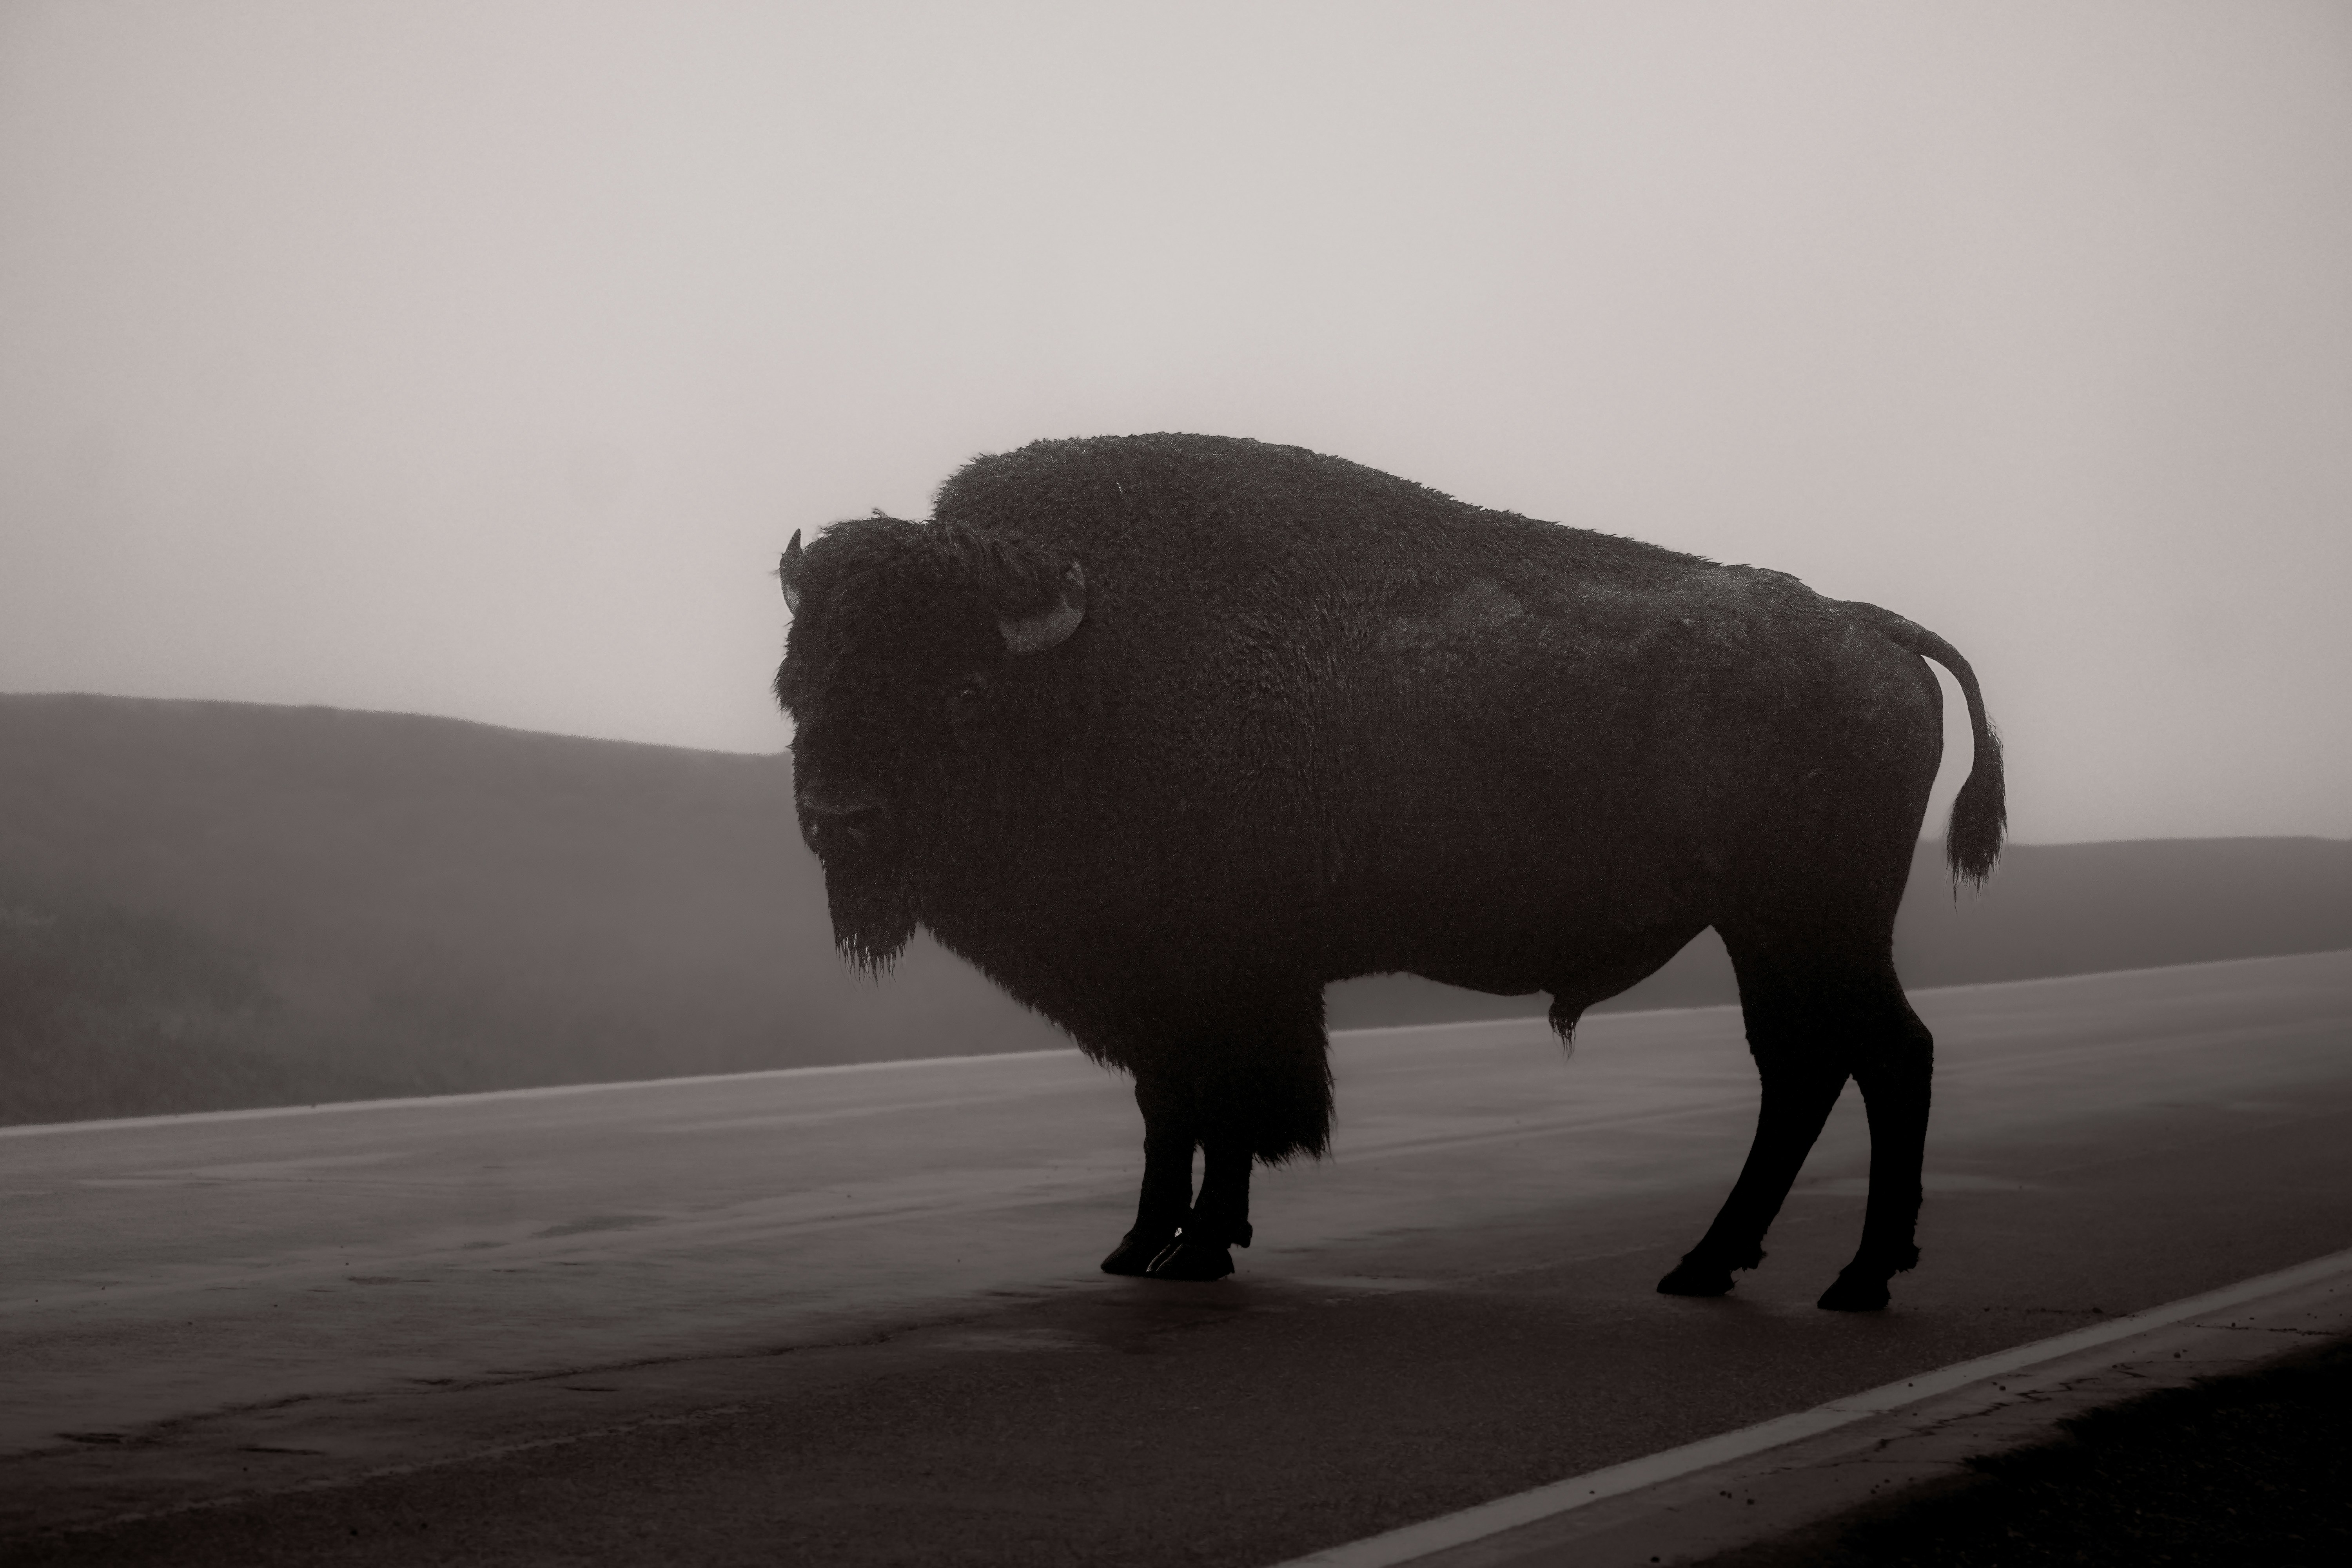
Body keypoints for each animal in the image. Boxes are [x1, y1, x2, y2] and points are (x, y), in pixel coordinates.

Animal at [774, 433, 2003, 1311]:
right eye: (800, 685)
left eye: (963, 690)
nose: (840, 820)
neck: (1092, 675)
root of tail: (1868, 626)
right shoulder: (1157, 991)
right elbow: (1168, 1110)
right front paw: (1136, 1245)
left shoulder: (1232, 984)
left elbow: (1229, 1111)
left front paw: (1199, 1248)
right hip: (1765, 931)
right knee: (1806, 1068)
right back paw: (1712, 1265)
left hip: (1813, 922)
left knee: (1885, 1056)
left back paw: (1855, 1278)